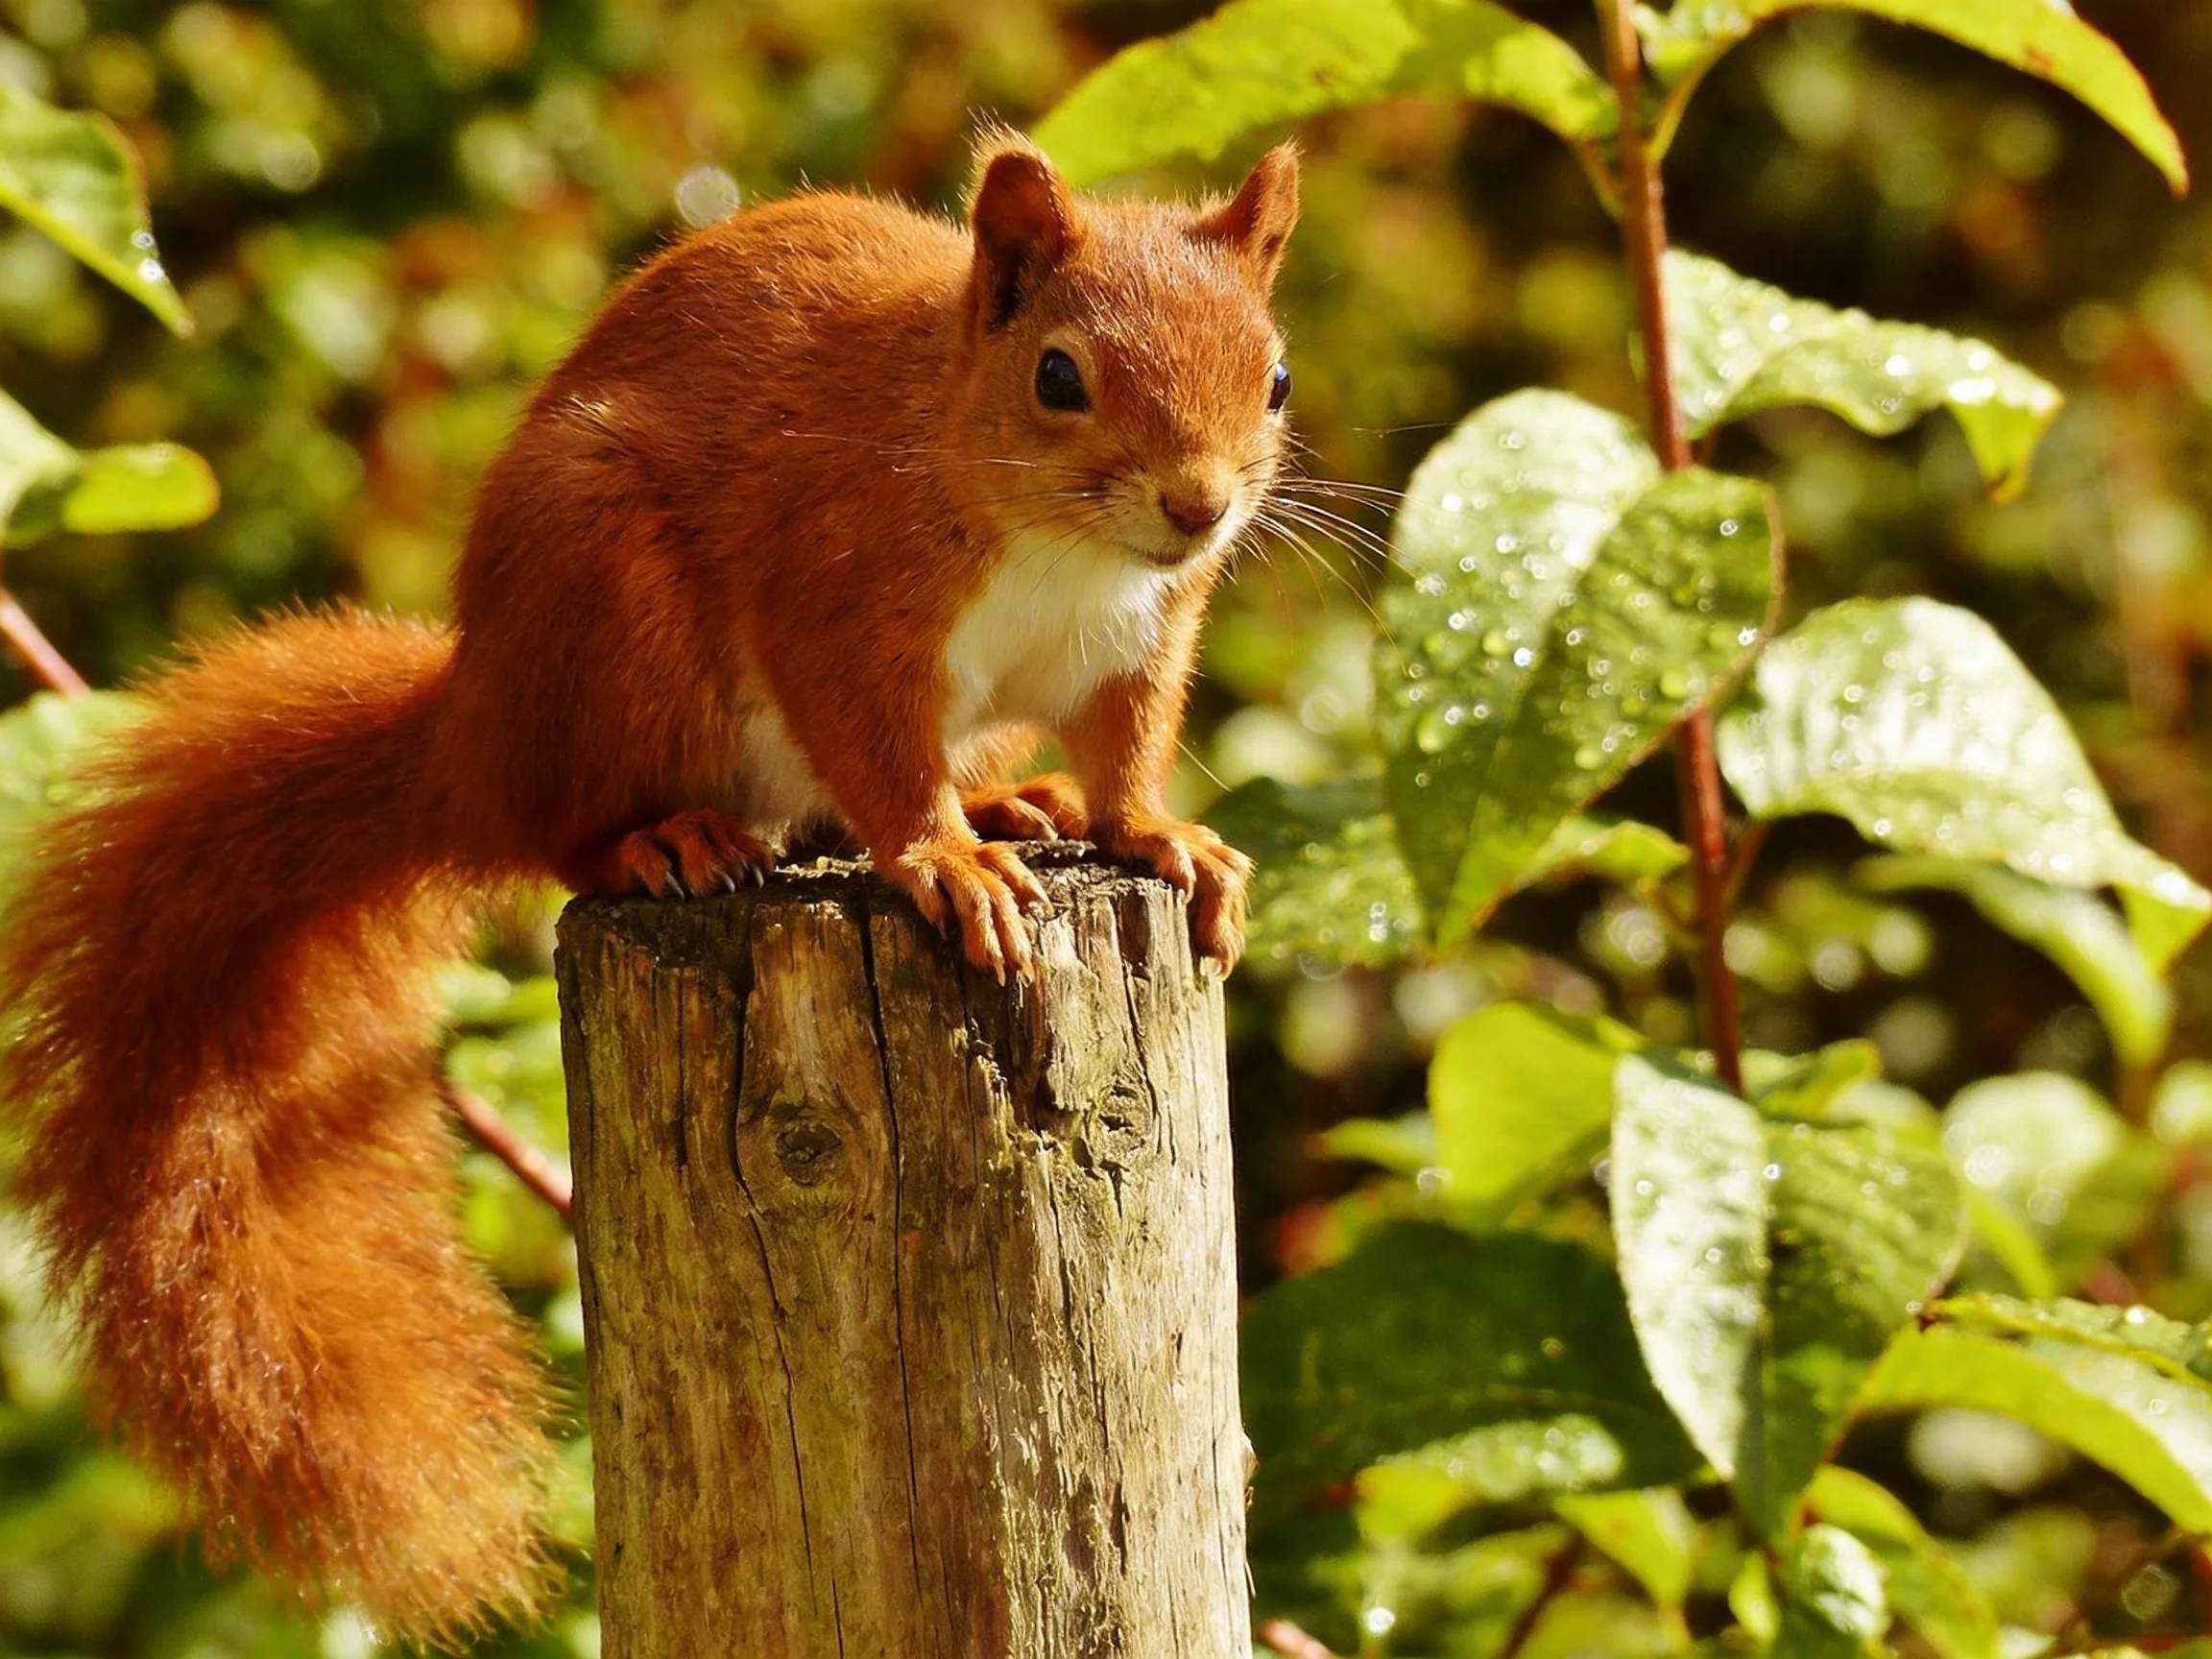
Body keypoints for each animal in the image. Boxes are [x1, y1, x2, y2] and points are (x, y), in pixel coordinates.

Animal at [0, 132, 1298, 1637]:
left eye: (1274, 376)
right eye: (1059, 376)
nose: (1199, 506)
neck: (1052, 540)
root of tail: (475, 736)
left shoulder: (1141, 638)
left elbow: (1129, 753)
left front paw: (1158, 840)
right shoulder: (835, 590)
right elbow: (874, 753)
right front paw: (941, 863)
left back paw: (1008, 801)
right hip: (608, 607)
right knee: (570, 833)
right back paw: (668, 843)